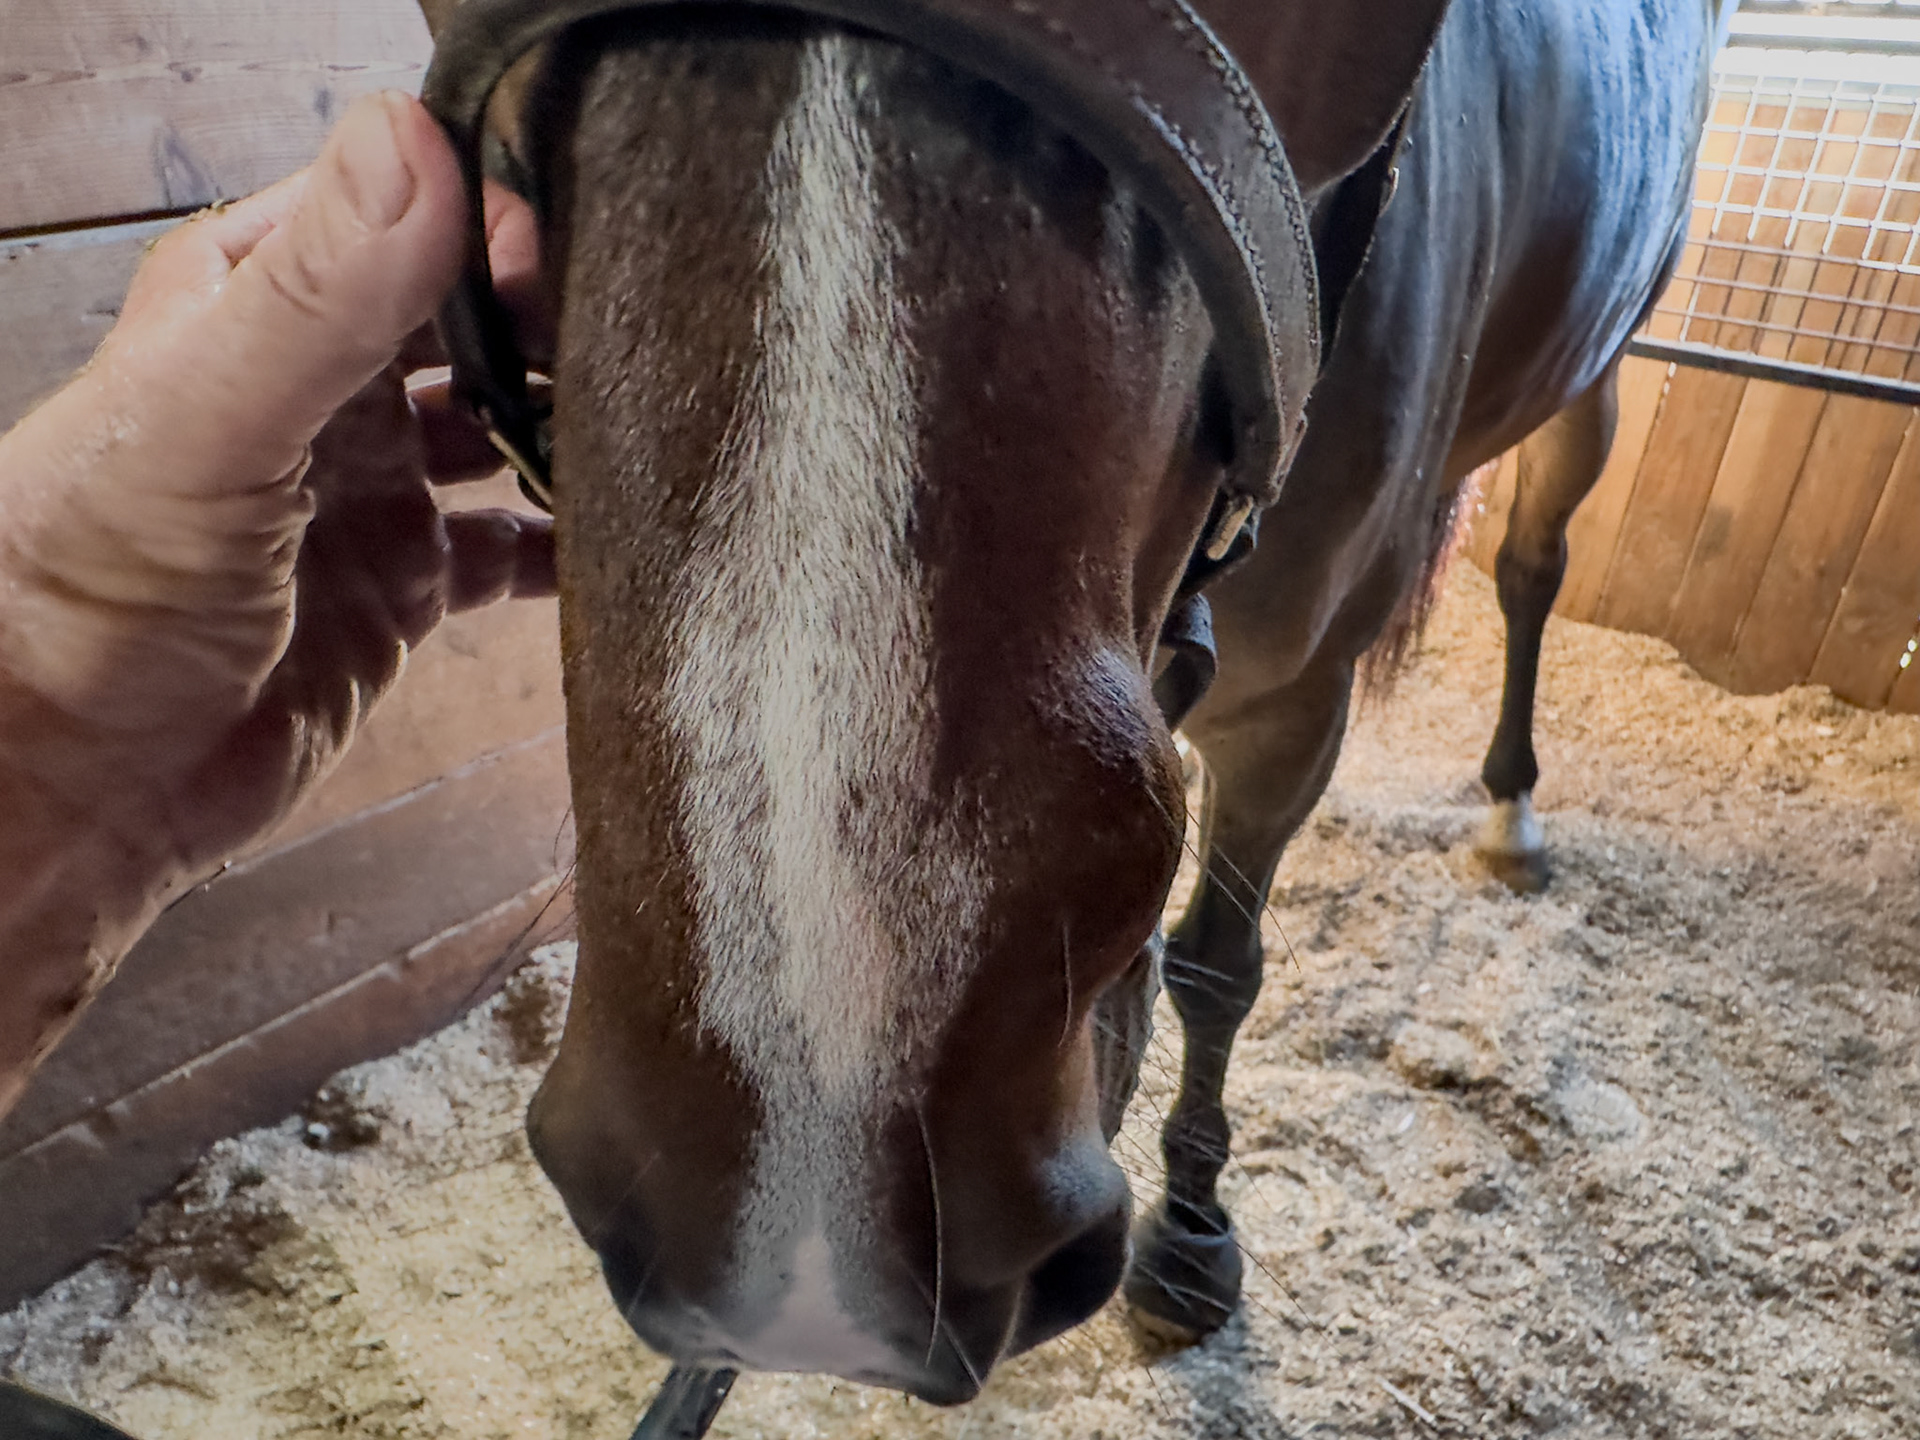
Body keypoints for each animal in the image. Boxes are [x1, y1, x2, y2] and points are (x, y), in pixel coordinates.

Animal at [414, 0, 1724, 1403]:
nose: (797, 1217)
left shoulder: (1296, 712)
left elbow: (1220, 968)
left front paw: (1193, 1229)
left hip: (1601, 372)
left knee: (1534, 561)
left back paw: (1510, 811)